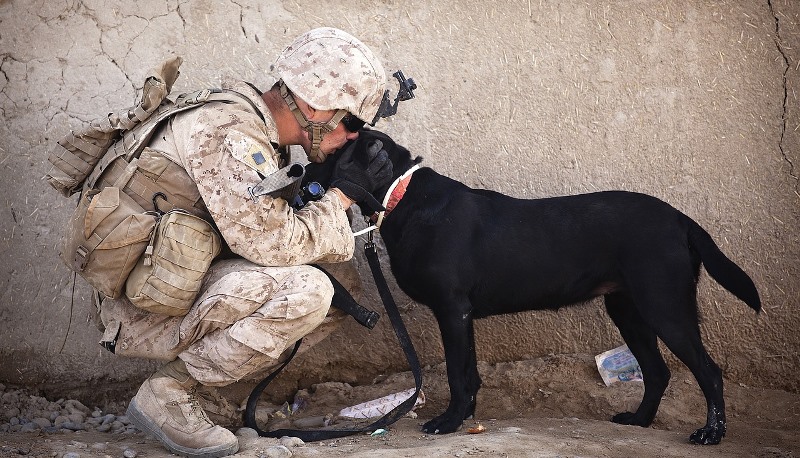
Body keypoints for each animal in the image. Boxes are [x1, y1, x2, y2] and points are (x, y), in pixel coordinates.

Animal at [304, 129, 760, 444]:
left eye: (331, 155)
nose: (297, 169)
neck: (403, 196)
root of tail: (680, 218)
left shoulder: (452, 310)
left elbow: (455, 372)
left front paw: (448, 422)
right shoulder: (463, 315)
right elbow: (469, 373)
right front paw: (465, 418)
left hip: (665, 305)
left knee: (708, 371)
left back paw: (710, 434)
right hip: (627, 309)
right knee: (658, 371)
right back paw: (639, 421)